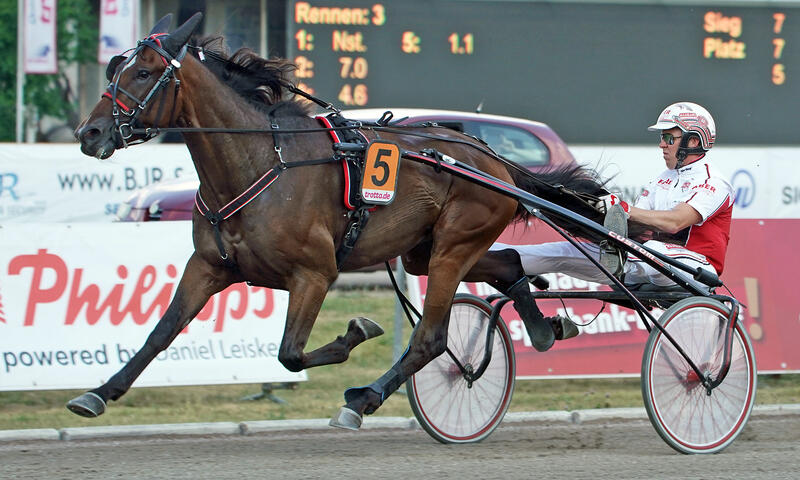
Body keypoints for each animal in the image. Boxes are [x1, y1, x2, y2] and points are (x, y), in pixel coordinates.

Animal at [70, 13, 608, 430]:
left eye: (144, 73)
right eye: (114, 68)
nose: (88, 132)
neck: (260, 161)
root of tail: (494, 160)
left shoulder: (314, 273)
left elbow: (290, 353)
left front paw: (357, 333)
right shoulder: (209, 265)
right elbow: (160, 332)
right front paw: (98, 392)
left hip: (454, 245)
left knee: (431, 338)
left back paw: (364, 398)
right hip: (427, 251)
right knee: (510, 261)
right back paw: (543, 329)